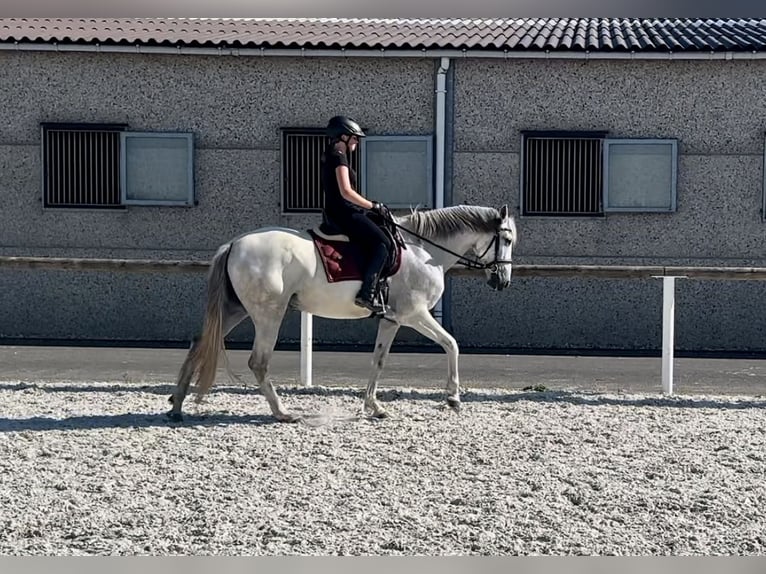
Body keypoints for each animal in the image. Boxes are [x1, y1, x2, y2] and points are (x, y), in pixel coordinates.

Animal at [166, 204, 516, 424]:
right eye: (507, 239)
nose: (503, 281)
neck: (423, 251)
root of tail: (235, 244)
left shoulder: (391, 320)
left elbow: (378, 360)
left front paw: (374, 407)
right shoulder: (414, 314)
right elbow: (451, 344)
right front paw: (453, 397)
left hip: (235, 310)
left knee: (198, 343)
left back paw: (177, 405)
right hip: (269, 315)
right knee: (258, 362)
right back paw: (282, 413)